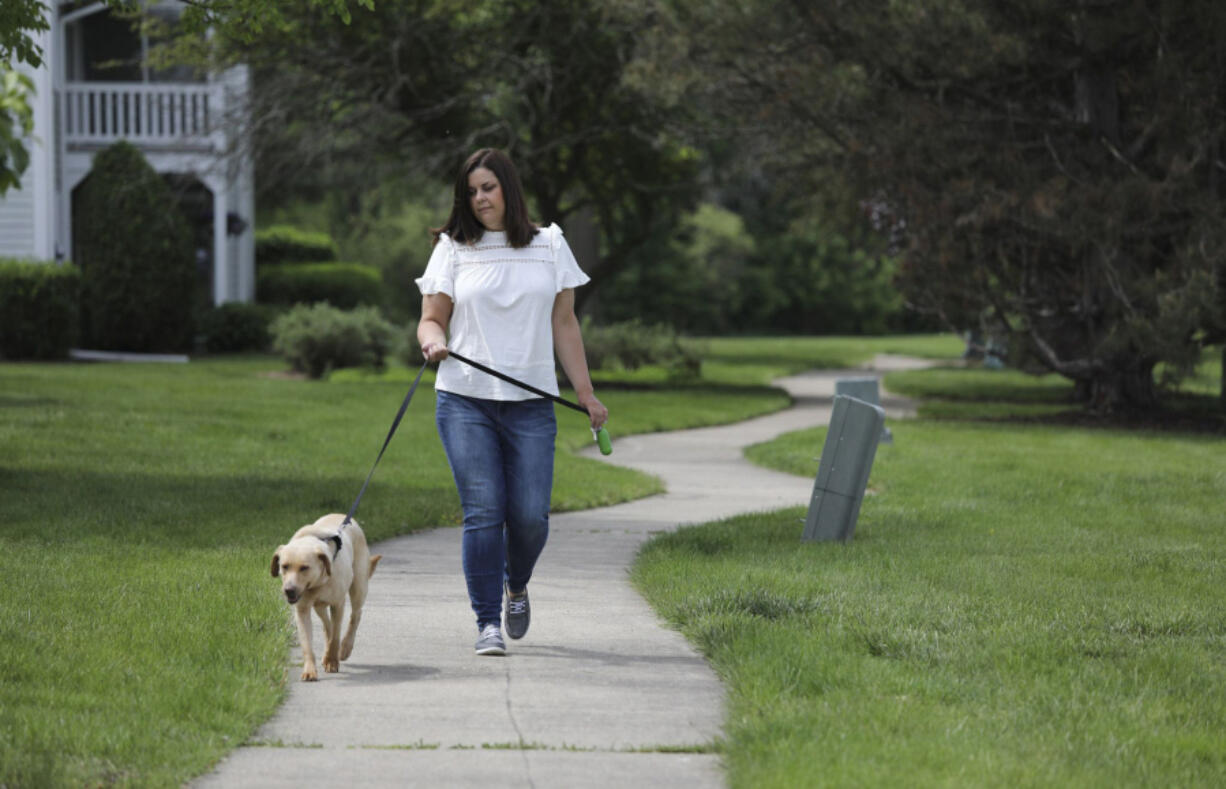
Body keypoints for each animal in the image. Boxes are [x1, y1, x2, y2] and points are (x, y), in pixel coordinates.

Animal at [270, 514, 380, 681]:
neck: (318, 583)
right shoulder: (302, 610)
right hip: (319, 606)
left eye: (304, 568)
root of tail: (342, 515)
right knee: (327, 625)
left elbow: (335, 636)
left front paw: (332, 661)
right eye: (284, 566)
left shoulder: (338, 604)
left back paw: (345, 647)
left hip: (358, 586)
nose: (289, 590)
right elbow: (308, 644)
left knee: (355, 616)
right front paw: (310, 670)